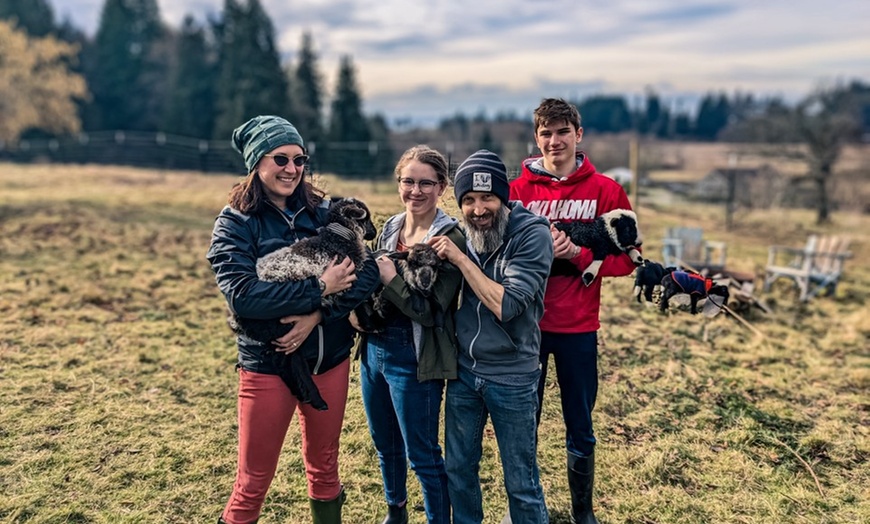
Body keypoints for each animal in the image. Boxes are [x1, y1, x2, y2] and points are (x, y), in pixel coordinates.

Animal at [228, 199, 378, 412]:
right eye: (366, 217)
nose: (374, 232)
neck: (337, 237)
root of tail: (237, 318)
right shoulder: (349, 278)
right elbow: (360, 301)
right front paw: (371, 324)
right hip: (283, 327)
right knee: (289, 362)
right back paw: (316, 399)